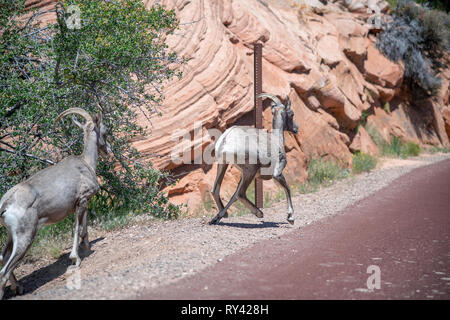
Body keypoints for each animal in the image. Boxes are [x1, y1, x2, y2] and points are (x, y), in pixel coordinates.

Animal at [0, 108, 110, 300]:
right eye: (104, 131)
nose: (108, 150)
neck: (86, 164)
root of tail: (5, 205)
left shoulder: (83, 203)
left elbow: (84, 225)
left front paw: (86, 246)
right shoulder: (81, 201)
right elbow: (77, 228)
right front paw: (76, 259)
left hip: (11, 237)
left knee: (3, 258)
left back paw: (19, 288)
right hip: (25, 238)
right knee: (3, 272)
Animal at [210, 92, 298, 225]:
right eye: (292, 114)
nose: (296, 129)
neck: (276, 139)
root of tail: (226, 138)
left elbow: (233, 196)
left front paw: (217, 217)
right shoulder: (277, 173)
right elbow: (287, 188)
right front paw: (290, 218)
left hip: (224, 165)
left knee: (218, 190)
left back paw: (221, 216)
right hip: (250, 170)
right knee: (240, 194)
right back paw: (259, 213)